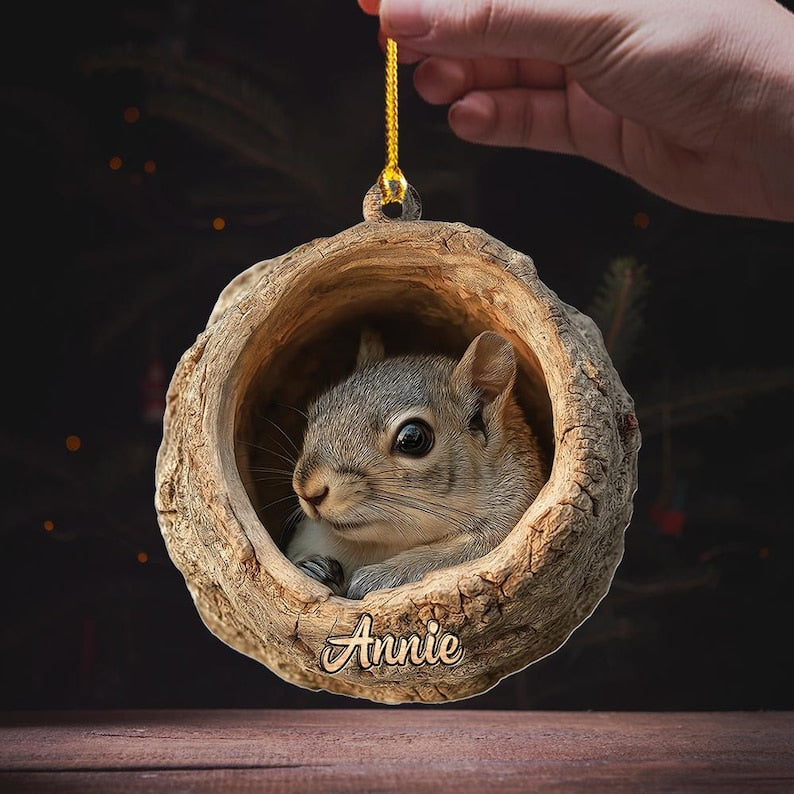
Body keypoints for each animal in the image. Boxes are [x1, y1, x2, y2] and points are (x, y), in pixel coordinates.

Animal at [284, 328, 549, 600]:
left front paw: (376, 578)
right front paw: (314, 568)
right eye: (318, 407)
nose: (307, 490)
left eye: (412, 438)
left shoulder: (504, 528)